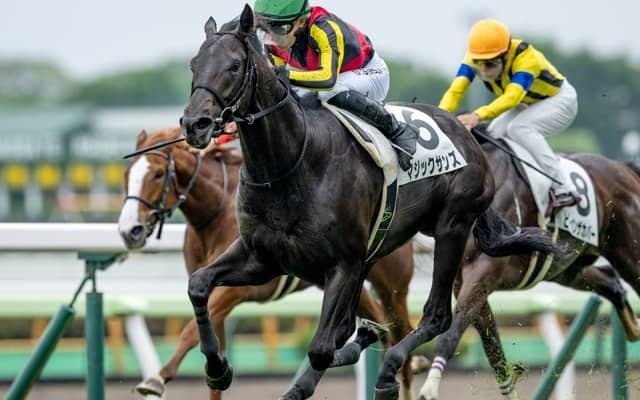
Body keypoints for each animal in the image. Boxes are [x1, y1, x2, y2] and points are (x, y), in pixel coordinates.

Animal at [117, 127, 417, 400]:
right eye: (127, 174)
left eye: (157, 174)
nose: (129, 230)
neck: (215, 214)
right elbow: (211, 343)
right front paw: (217, 374)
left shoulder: (234, 289)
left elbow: (190, 331)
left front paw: (156, 379)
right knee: (375, 323)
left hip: (390, 284)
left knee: (401, 330)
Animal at [178, 7, 555, 400]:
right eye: (194, 64)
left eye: (235, 65)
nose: (195, 123)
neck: (290, 164)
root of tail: (466, 132)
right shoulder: (262, 258)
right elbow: (199, 285)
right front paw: (218, 369)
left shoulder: (343, 263)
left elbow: (321, 347)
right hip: (376, 254)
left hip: (451, 227)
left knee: (435, 315)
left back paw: (389, 372)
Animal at [417, 132, 640, 400]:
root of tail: (625, 168)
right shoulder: (466, 281)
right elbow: (492, 348)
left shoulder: (483, 271)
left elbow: (453, 333)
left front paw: (429, 387)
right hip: (566, 268)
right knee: (610, 281)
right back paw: (633, 327)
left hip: (629, 255)